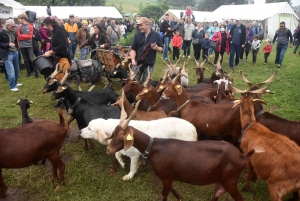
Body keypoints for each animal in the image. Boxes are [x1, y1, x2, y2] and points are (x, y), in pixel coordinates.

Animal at [106, 99, 264, 200]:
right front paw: (180, 196)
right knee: (218, 193)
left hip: (230, 181)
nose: (108, 150)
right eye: (113, 133)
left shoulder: (166, 177)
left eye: (122, 136)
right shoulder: (167, 177)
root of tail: (243, 156)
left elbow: (164, 195)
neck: (153, 147)